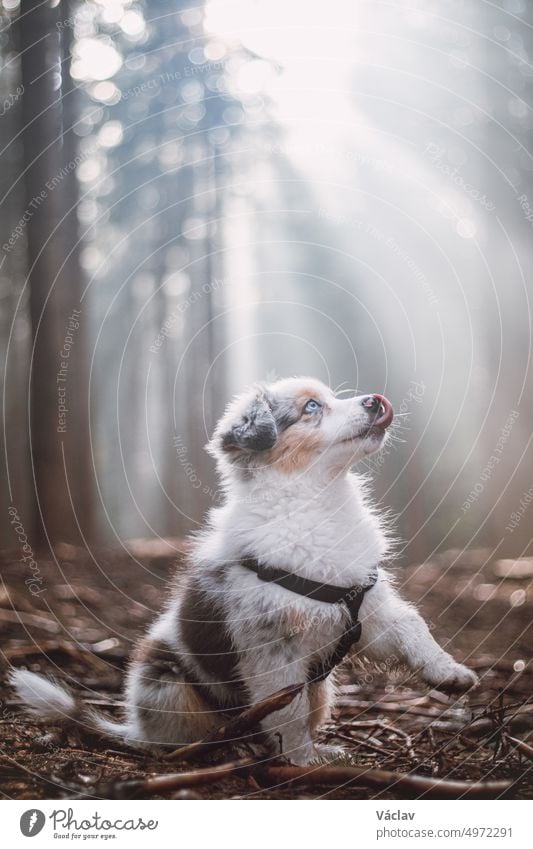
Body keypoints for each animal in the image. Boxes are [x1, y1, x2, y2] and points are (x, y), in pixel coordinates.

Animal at [11, 376, 478, 760]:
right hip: (167, 682)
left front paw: (450, 673)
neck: (315, 502)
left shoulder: (367, 604)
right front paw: (302, 763)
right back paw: (225, 749)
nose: (376, 400)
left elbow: (413, 626)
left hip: (322, 689)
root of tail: (134, 728)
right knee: (182, 739)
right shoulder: (272, 645)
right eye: (312, 407)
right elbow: (286, 711)